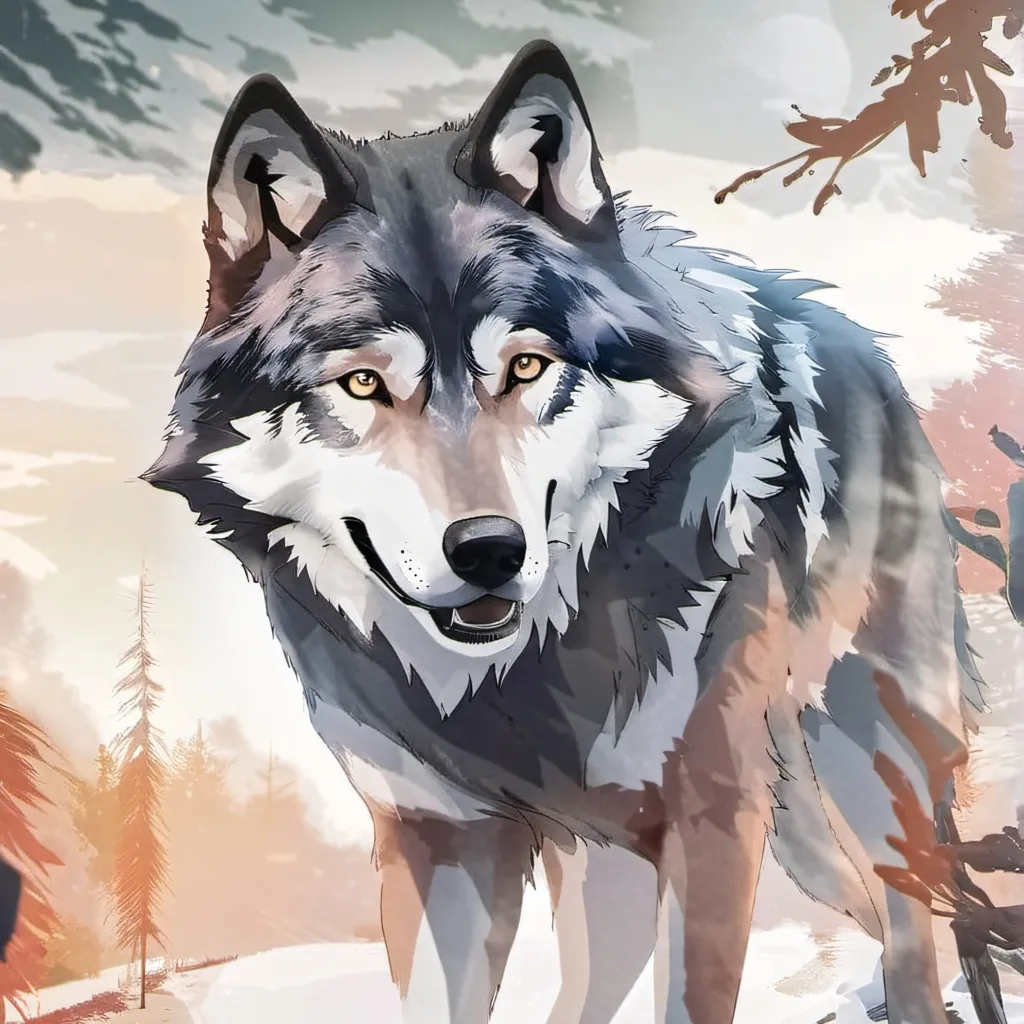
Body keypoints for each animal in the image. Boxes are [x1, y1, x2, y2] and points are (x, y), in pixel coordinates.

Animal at [145, 39, 1002, 1024]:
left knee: (914, 932)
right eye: (362, 384)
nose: (488, 550)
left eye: (526, 365)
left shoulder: (713, 815)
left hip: (863, 771)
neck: (523, 680)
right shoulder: (439, 839)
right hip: (653, 847)